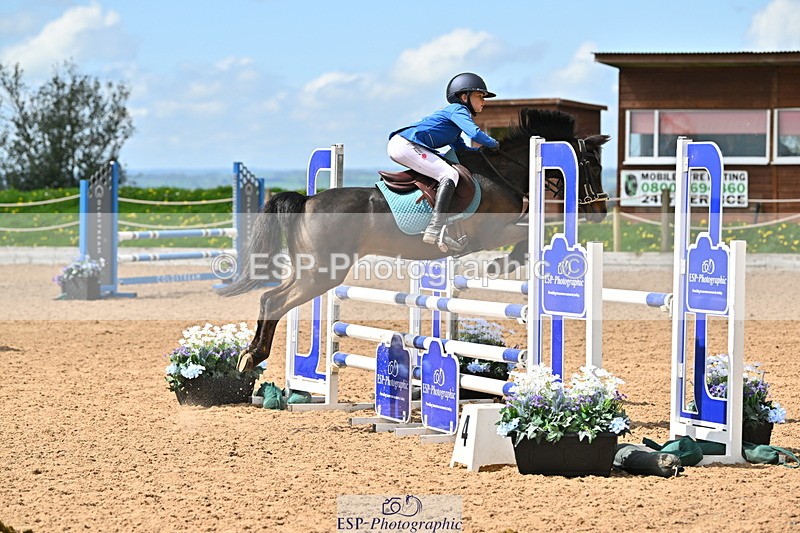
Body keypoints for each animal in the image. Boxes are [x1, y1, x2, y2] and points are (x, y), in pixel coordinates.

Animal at [220, 108, 610, 371]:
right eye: (592, 163)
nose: (600, 211)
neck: (502, 173)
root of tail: (307, 201)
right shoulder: (490, 232)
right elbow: (531, 232)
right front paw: (503, 264)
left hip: (311, 270)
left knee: (269, 297)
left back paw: (249, 355)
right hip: (323, 274)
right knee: (275, 301)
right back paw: (253, 357)